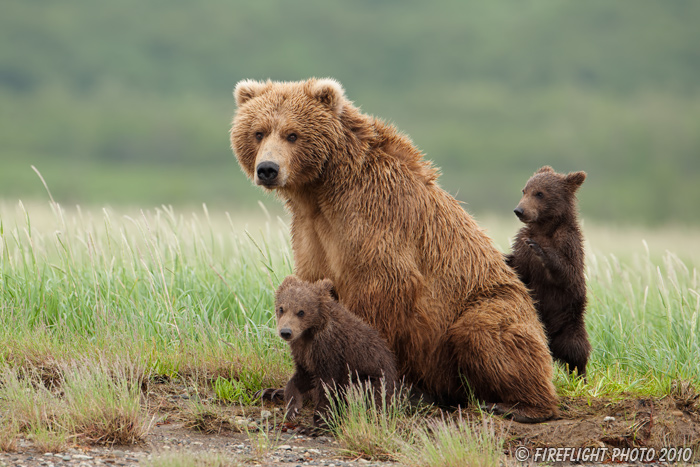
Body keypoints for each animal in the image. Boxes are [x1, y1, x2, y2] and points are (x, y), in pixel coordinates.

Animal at [268, 278, 396, 428]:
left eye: (301, 312)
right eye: (281, 308)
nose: (286, 332)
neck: (309, 334)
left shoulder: (329, 351)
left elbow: (327, 386)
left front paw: (320, 419)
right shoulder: (303, 353)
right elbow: (302, 377)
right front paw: (292, 408)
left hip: (375, 380)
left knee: (360, 393)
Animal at [508, 166, 592, 378]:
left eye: (540, 193)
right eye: (524, 190)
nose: (519, 210)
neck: (543, 228)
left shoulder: (568, 243)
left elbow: (567, 274)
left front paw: (540, 249)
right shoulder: (521, 245)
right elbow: (519, 268)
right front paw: (505, 258)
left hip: (570, 324)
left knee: (577, 349)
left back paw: (580, 375)